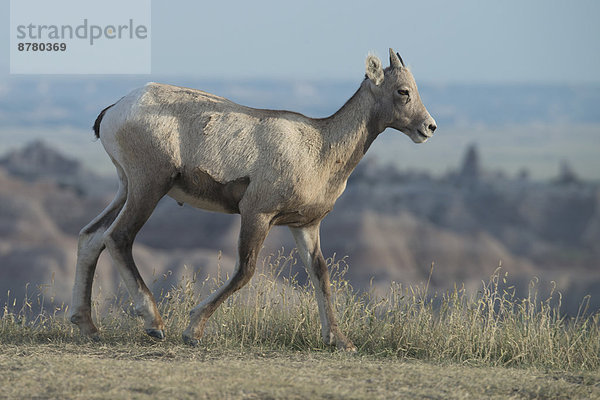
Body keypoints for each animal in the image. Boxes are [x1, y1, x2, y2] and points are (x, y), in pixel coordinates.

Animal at [70, 49, 436, 350]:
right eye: (403, 91)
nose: (429, 127)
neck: (320, 148)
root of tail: (116, 110)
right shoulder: (257, 214)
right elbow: (245, 271)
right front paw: (193, 331)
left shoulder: (305, 226)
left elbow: (320, 274)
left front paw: (339, 340)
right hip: (149, 187)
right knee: (118, 237)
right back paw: (154, 324)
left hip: (126, 188)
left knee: (91, 236)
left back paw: (87, 327)